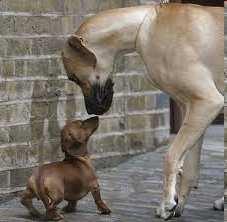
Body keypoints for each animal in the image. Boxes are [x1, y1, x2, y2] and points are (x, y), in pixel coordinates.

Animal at [61, 2, 223, 219]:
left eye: (74, 78)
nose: (90, 110)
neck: (145, 25)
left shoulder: (207, 103)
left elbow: (171, 156)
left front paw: (166, 204)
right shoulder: (192, 109)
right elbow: (189, 167)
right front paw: (178, 204)